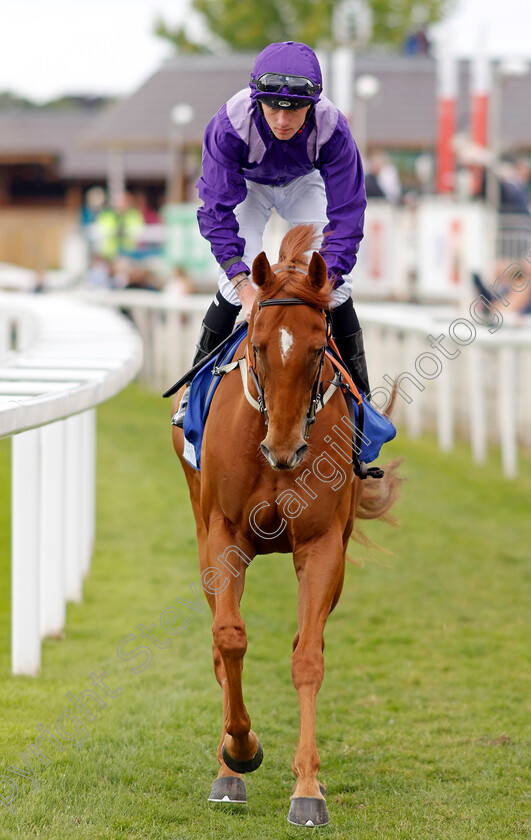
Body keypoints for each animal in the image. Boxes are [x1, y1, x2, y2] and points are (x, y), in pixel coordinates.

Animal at [172, 223, 402, 828]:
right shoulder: (223, 535)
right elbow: (229, 639)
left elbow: (307, 657)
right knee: (219, 643)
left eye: (320, 348)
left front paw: (308, 789)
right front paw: (239, 752)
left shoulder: (322, 547)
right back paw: (228, 769)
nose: (284, 448)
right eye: (256, 344)